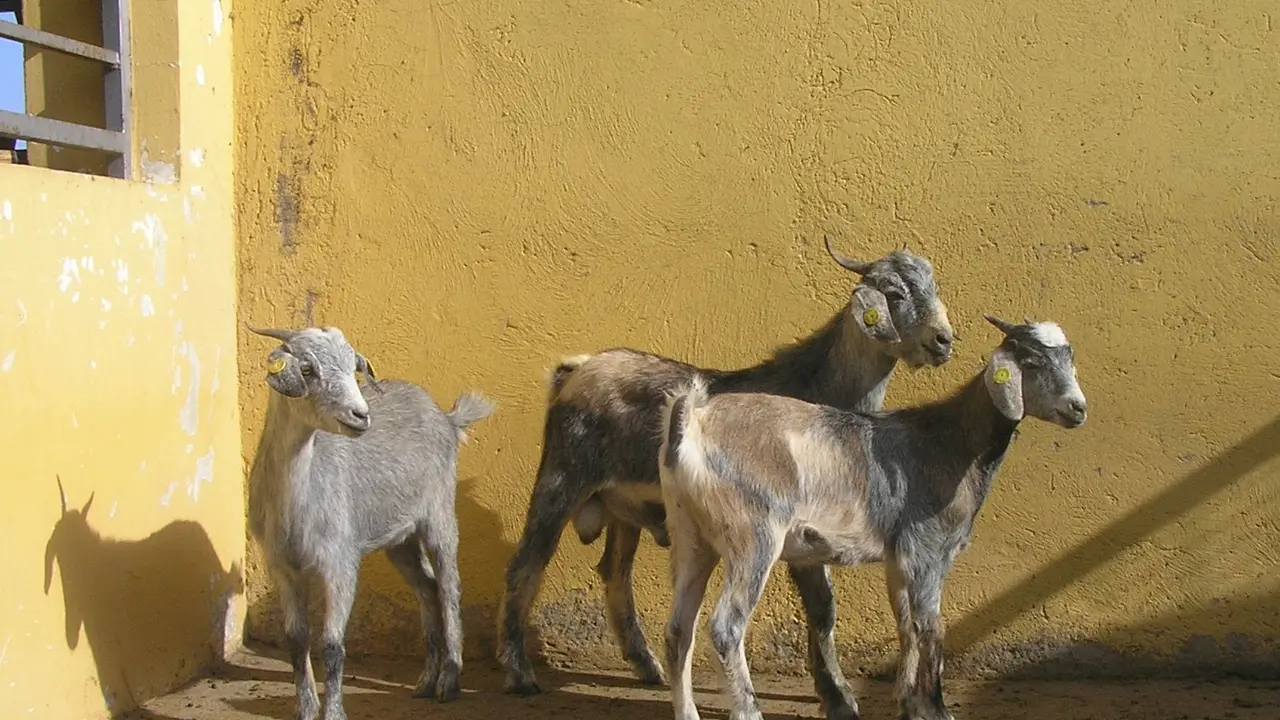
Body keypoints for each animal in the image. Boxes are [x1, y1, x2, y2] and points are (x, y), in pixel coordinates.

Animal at [246, 325, 495, 720]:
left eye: (354, 368)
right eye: (307, 370)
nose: (360, 415)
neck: (296, 504)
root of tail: (447, 418)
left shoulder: (340, 561)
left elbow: (333, 645)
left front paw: (333, 712)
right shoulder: (281, 566)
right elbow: (296, 641)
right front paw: (306, 710)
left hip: (439, 512)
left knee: (449, 587)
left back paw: (449, 681)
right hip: (400, 537)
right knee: (426, 586)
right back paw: (426, 681)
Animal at [498, 237, 956, 720]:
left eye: (932, 287)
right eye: (893, 293)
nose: (943, 341)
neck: (819, 389)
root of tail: (574, 370)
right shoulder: (804, 536)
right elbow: (822, 608)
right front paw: (839, 698)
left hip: (623, 508)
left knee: (615, 573)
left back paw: (646, 665)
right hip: (562, 477)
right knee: (527, 565)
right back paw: (519, 673)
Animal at [658, 314, 1088, 720]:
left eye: (1070, 358)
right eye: (1030, 362)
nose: (1078, 409)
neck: (951, 443)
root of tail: (692, 422)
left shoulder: (899, 557)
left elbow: (906, 624)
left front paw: (909, 702)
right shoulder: (928, 550)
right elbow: (932, 628)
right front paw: (936, 708)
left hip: (690, 535)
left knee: (678, 630)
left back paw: (688, 712)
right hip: (753, 537)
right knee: (725, 628)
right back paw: (748, 710)